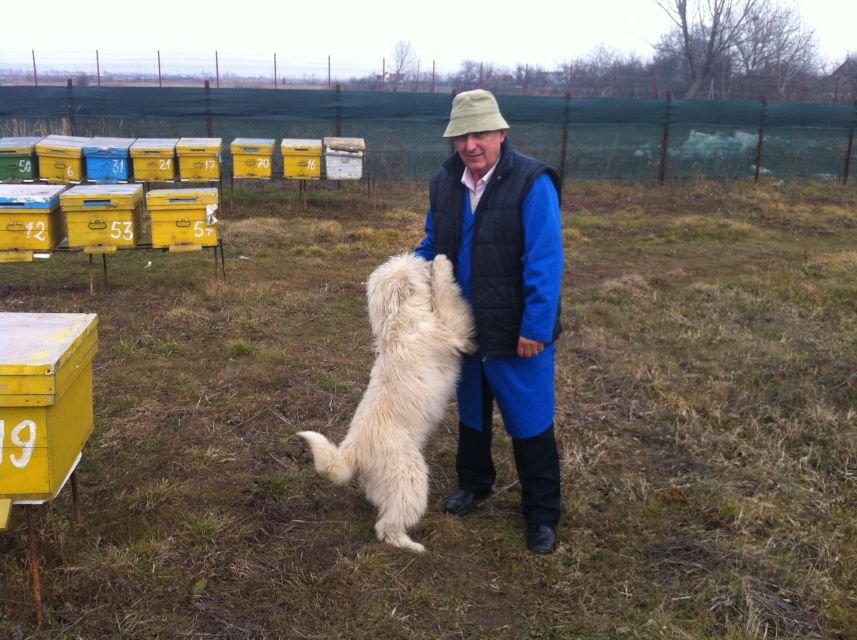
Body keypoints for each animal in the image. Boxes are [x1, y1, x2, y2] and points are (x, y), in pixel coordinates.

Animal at [298, 252, 474, 552]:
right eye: (414, 267)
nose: (425, 258)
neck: (401, 322)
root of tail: (350, 453)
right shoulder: (450, 327)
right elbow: (446, 296)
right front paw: (442, 265)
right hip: (410, 477)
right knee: (387, 527)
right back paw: (411, 545)